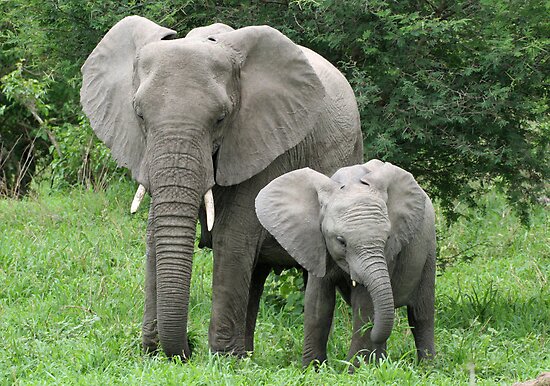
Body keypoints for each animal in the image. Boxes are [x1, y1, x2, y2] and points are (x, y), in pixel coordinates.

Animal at [80, 15, 364, 358]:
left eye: (220, 119)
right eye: (139, 115)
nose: (188, 346)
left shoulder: (264, 140)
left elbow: (233, 236)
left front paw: (219, 358)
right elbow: (155, 232)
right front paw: (154, 352)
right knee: (257, 273)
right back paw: (246, 355)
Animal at [256, 159, 438, 364]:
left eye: (388, 238)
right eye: (341, 241)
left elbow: (365, 307)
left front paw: (353, 369)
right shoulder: (317, 244)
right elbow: (317, 306)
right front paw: (312, 368)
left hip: (429, 249)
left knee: (420, 315)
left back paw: (426, 367)